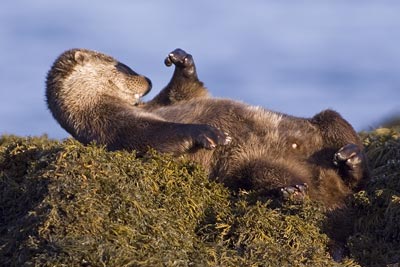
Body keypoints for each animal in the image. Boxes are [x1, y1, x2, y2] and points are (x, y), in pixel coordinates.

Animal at [46, 48, 368, 211]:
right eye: (122, 65)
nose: (147, 79)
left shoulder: (162, 103)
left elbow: (187, 91)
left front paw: (182, 60)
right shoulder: (110, 126)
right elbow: (152, 136)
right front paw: (208, 132)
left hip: (327, 120)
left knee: (353, 165)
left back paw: (350, 157)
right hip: (250, 166)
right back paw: (292, 192)